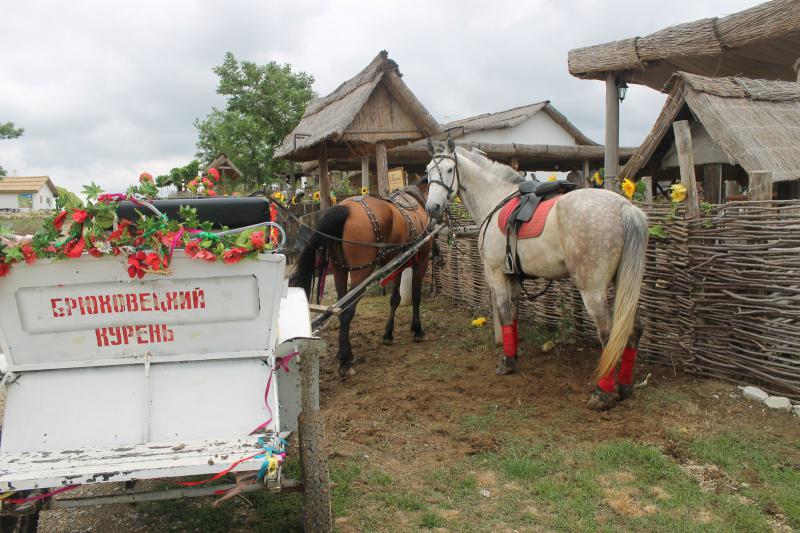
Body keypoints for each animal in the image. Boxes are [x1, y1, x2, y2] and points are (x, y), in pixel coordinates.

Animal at [290, 181, 432, 376]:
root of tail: (344, 207)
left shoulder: (398, 262)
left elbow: (395, 299)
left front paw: (388, 334)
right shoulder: (422, 259)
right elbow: (417, 296)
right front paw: (417, 330)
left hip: (339, 270)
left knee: (340, 308)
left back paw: (344, 354)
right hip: (361, 271)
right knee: (348, 310)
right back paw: (345, 360)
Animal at [422, 139, 648, 410]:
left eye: (448, 169)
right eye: (427, 171)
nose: (432, 208)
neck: (495, 199)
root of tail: (624, 207)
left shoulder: (495, 275)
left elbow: (504, 314)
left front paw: (506, 363)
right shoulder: (513, 278)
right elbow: (514, 316)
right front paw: (513, 355)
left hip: (592, 291)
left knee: (607, 334)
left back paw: (602, 394)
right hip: (623, 284)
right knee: (633, 330)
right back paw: (624, 386)